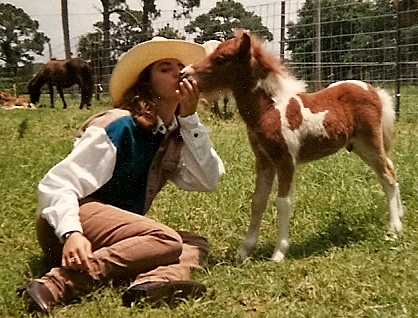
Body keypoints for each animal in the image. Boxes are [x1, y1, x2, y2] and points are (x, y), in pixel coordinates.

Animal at [184, 29, 404, 262]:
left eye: (222, 58)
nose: (184, 73)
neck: (270, 109)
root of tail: (374, 90)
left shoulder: (285, 161)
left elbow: (283, 202)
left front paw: (279, 253)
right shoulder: (264, 161)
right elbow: (258, 201)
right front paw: (244, 252)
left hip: (370, 141)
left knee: (387, 175)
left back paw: (393, 229)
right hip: (361, 146)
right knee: (389, 169)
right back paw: (400, 217)